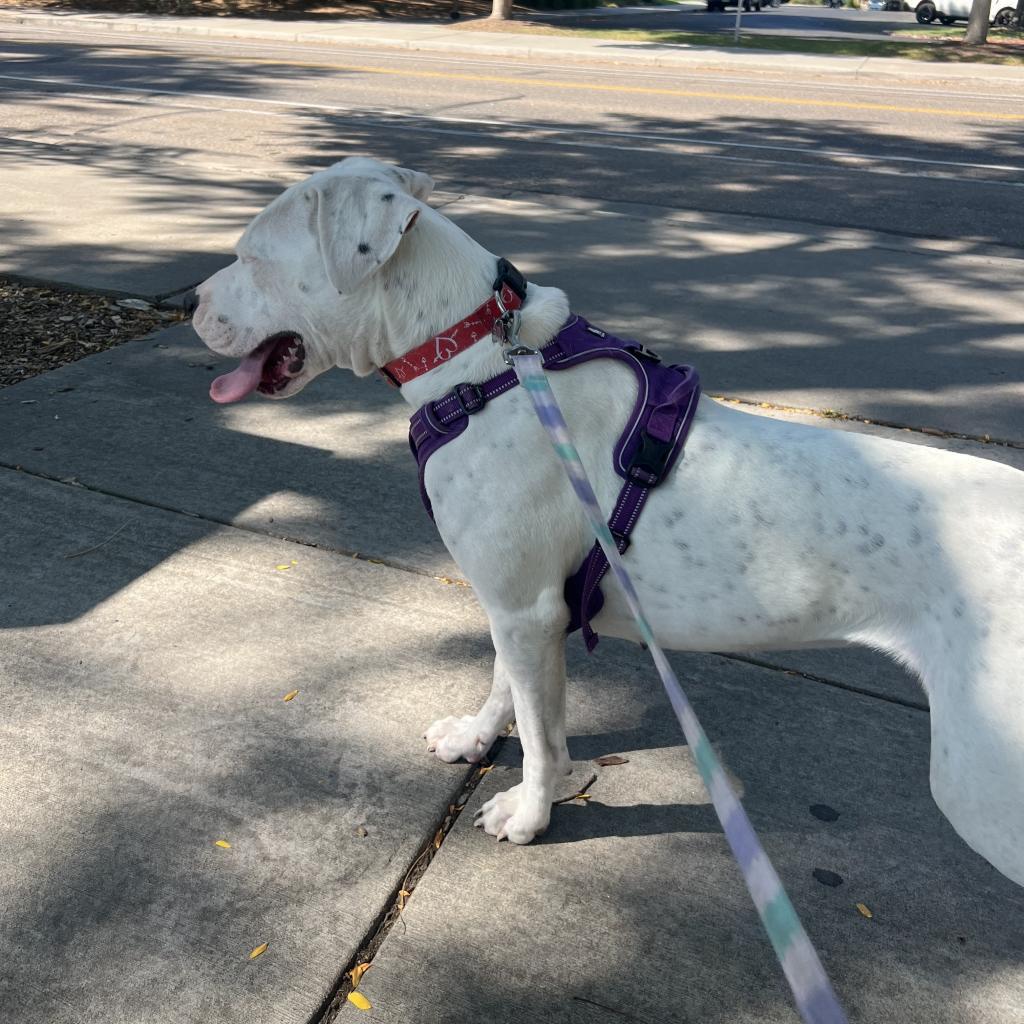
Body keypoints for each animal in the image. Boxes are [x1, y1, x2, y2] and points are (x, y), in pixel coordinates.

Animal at [193, 157, 1024, 888]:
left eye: (251, 257)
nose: (190, 303)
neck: (482, 364)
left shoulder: (527, 612)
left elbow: (540, 735)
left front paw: (528, 815)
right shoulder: (516, 606)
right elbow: (505, 690)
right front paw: (474, 738)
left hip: (981, 781)